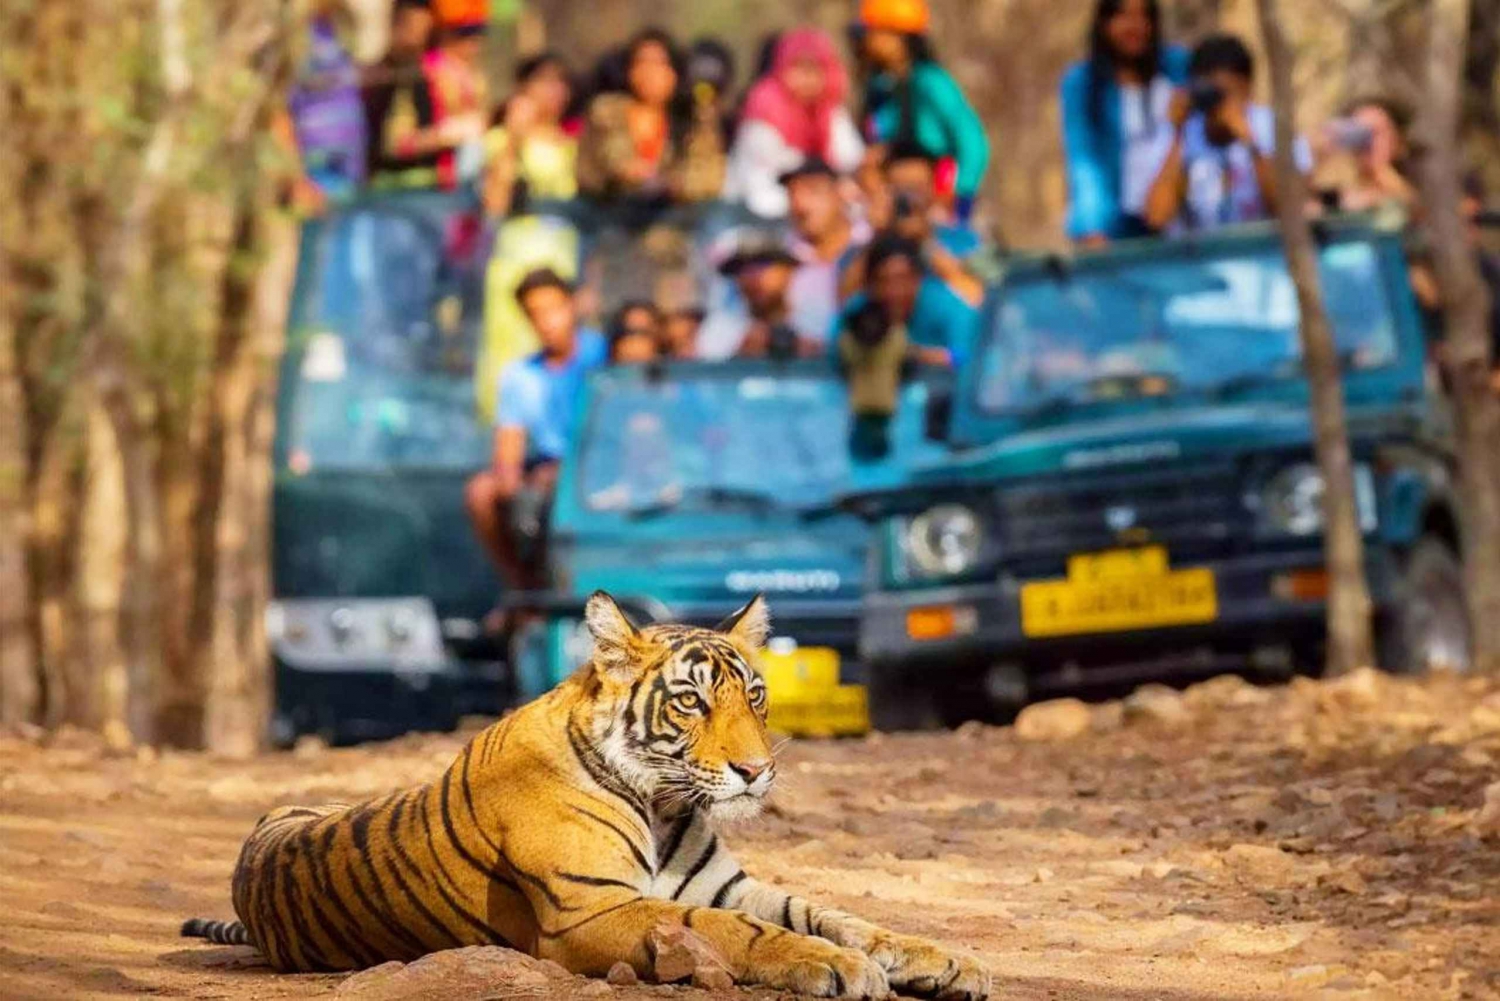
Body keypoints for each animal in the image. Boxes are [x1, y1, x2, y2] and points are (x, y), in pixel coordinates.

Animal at [181, 591, 990, 996]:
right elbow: (738, 931)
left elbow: (837, 914)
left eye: (755, 696)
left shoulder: (729, 885)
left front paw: (946, 961)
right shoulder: (590, 909)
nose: (756, 770)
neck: (663, 802)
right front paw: (840, 968)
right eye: (692, 702)